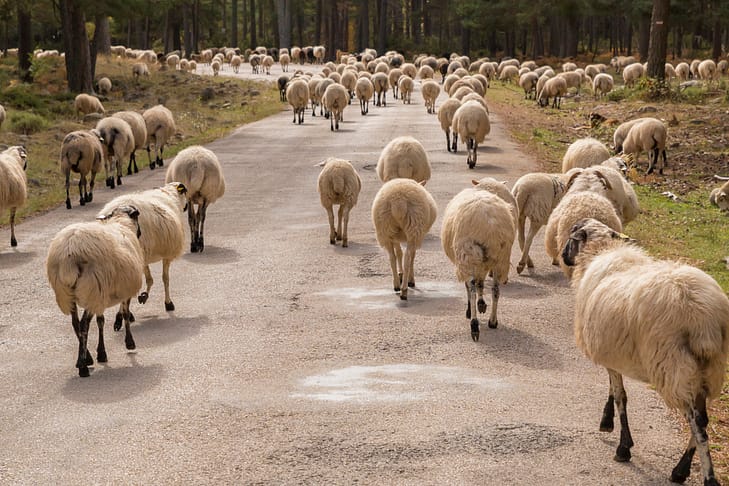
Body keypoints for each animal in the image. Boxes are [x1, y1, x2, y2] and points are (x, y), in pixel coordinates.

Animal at [46, 205, 144, 377]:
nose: (140, 233)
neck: (121, 222)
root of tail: (69, 254)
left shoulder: (102, 295)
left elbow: (101, 320)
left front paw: (101, 353)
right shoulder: (122, 291)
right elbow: (125, 314)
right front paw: (130, 343)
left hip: (68, 292)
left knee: (75, 323)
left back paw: (86, 359)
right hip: (92, 287)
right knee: (84, 323)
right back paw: (83, 367)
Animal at [99, 183, 188, 327]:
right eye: (185, 192)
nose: (186, 207)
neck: (169, 195)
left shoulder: (144, 258)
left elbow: (150, 279)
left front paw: (144, 296)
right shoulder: (166, 254)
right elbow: (165, 278)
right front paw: (168, 303)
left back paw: (123, 316)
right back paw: (121, 317)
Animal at [441, 187, 515, 341]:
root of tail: (488, 223)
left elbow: (470, 286)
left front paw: (471, 310)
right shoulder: (484, 265)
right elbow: (481, 283)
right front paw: (482, 305)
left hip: (468, 255)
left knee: (472, 288)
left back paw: (474, 325)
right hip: (500, 257)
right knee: (495, 290)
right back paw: (493, 321)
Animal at [561, 217, 729, 486]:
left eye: (572, 235)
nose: (564, 257)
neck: (601, 251)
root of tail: (701, 315)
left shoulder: (610, 354)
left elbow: (620, 396)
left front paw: (623, 447)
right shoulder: (613, 352)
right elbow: (613, 391)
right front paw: (607, 423)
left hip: (673, 366)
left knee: (698, 423)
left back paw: (707, 477)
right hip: (709, 367)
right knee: (703, 418)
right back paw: (681, 470)